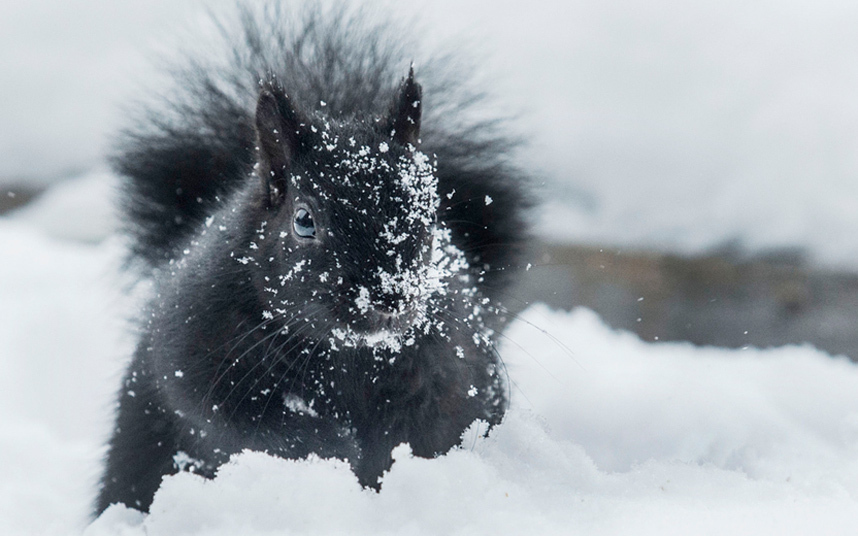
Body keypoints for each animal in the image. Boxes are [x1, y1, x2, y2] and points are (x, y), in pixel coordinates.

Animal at [97, 2, 532, 512]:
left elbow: (433, 425)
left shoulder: (453, 370)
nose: (390, 296)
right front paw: (335, 449)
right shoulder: (197, 351)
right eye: (304, 221)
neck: (346, 352)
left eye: (429, 213)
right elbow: (242, 421)